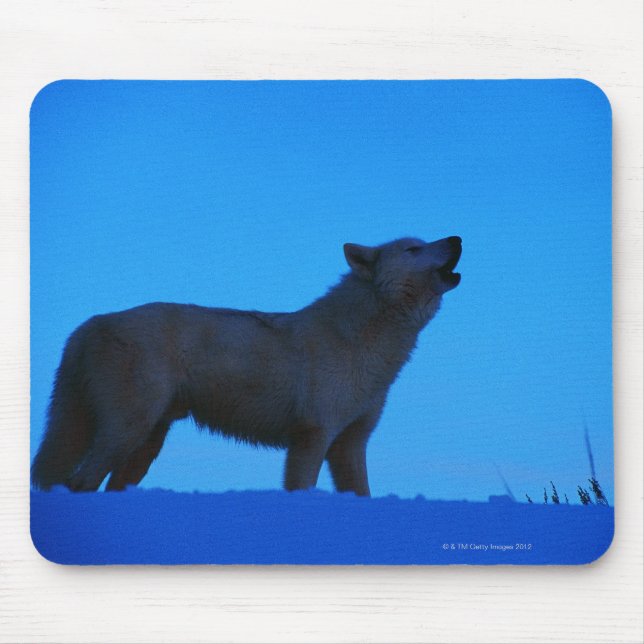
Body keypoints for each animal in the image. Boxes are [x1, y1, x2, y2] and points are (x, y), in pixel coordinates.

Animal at [31, 235, 462, 495]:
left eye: (424, 243)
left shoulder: (350, 445)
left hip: (144, 443)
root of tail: (89, 324)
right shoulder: (313, 437)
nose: (457, 238)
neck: (362, 339)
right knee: (79, 481)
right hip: (126, 431)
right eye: (412, 249)